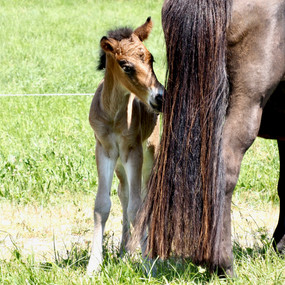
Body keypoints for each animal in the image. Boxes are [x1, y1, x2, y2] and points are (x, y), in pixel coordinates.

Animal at [86, 18, 162, 272]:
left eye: (150, 58)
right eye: (125, 66)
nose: (160, 97)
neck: (113, 114)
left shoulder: (133, 150)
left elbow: (137, 207)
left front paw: (146, 262)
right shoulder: (104, 150)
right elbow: (102, 205)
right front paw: (93, 265)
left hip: (150, 156)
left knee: (146, 196)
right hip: (120, 166)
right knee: (124, 193)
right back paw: (124, 250)